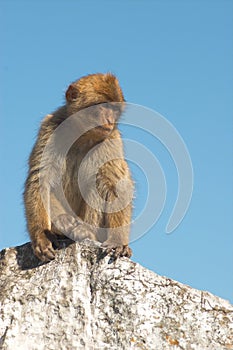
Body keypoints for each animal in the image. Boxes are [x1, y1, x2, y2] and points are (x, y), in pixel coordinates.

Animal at [23, 72, 134, 262]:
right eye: (102, 107)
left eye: (114, 110)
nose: (110, 120)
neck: (82, 134)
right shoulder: (50, 128)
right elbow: (39, 179)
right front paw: (41, 236)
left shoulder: (112, 140)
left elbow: (116, 185)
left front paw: (118, 241)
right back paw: (63, 223)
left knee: (100, 182)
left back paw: (84, 230)